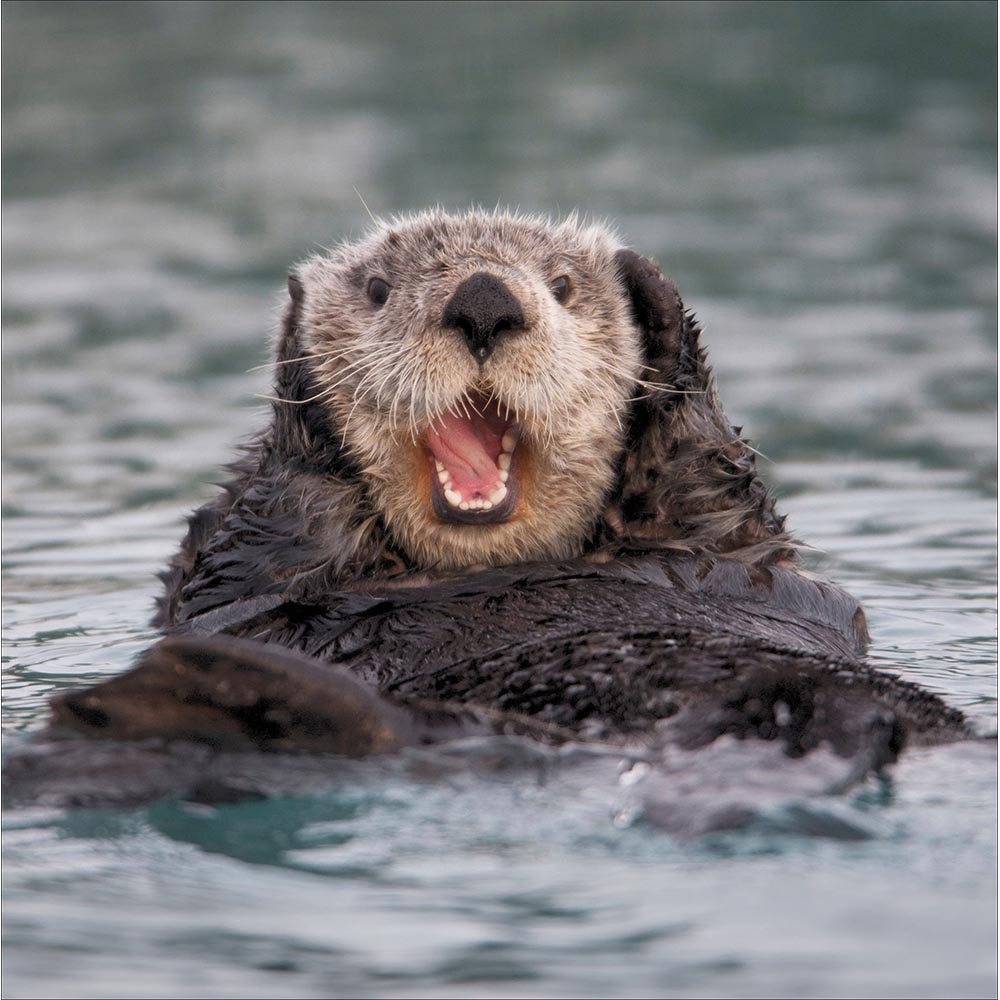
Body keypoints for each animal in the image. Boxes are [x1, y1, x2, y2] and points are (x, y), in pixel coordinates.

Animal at [2, 210, 970, 820]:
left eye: (565, 285)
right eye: (379, 288)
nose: (482, 301)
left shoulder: (725, 545)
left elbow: (713, 489)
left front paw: (657, 304)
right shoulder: (239, 573)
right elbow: (255, 545)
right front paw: (299, 369)